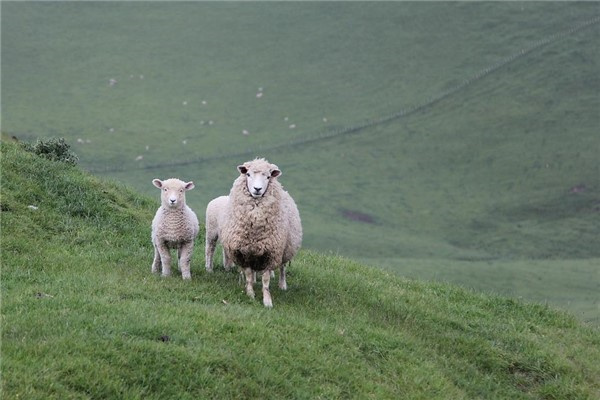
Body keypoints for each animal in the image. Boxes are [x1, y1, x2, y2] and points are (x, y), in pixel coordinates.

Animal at [217, 158, 302, 308]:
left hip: (285, 249)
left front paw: (267, 301)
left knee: (282, 268)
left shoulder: (271, 253)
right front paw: (250, 293)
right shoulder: (244, 253)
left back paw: (282, 285)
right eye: (248, 174)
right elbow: (248, 275)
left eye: (268, 177)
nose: (257, 189)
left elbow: (266, 280)